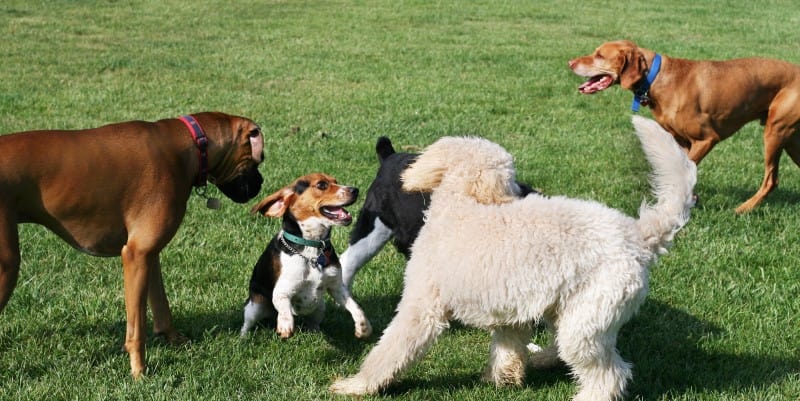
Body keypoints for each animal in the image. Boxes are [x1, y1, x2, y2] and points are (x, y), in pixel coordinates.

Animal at [0, 111, 268, 376]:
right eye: (260, 159)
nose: (262, 182)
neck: (192, 143)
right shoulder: (136, 256)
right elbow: (136, 326)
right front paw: (139, 370)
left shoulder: (149, 256)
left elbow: (161, 305)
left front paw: (173, 339)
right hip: (7, 267)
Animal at [564, 41, 800, 214]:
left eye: (600, 55)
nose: (570, 62)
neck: (656, 78)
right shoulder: (683, 142)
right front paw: (690, 198)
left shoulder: (707, 139)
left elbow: (683, 168)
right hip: (790, 141)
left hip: (775, 132)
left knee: (771, 179)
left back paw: (744, 208)